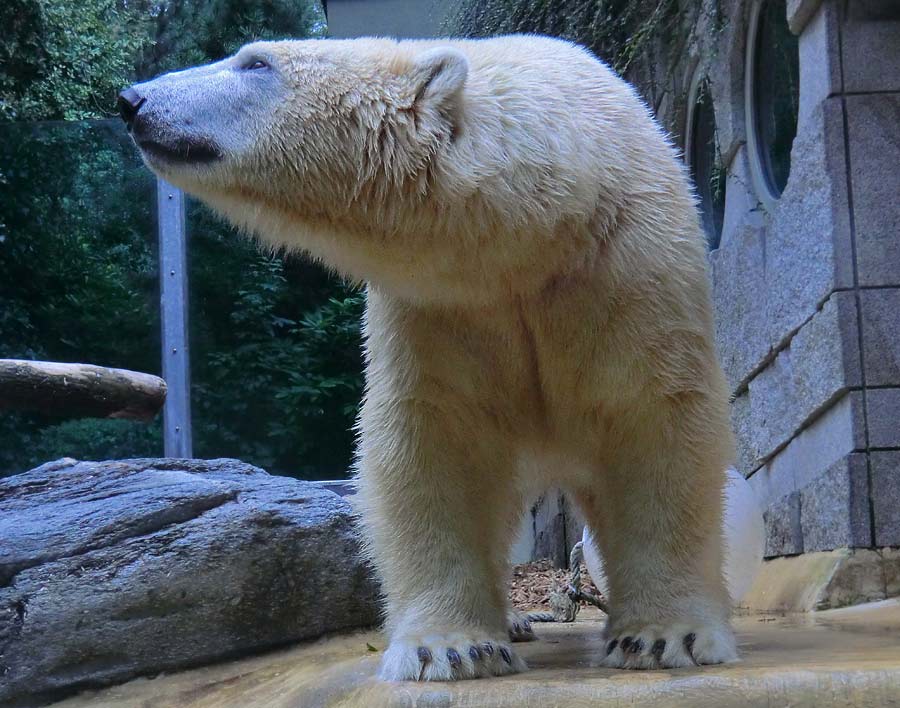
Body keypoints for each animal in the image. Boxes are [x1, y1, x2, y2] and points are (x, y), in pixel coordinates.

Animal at [119, 34, 740, 680]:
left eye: (255, 63)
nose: (132, 100)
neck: (541, 231)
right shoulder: (440, 310)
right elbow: (435, 444)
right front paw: (453, 646)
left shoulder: (625, 271)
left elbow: (653, 422)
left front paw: (662, 636)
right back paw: (512, 620)